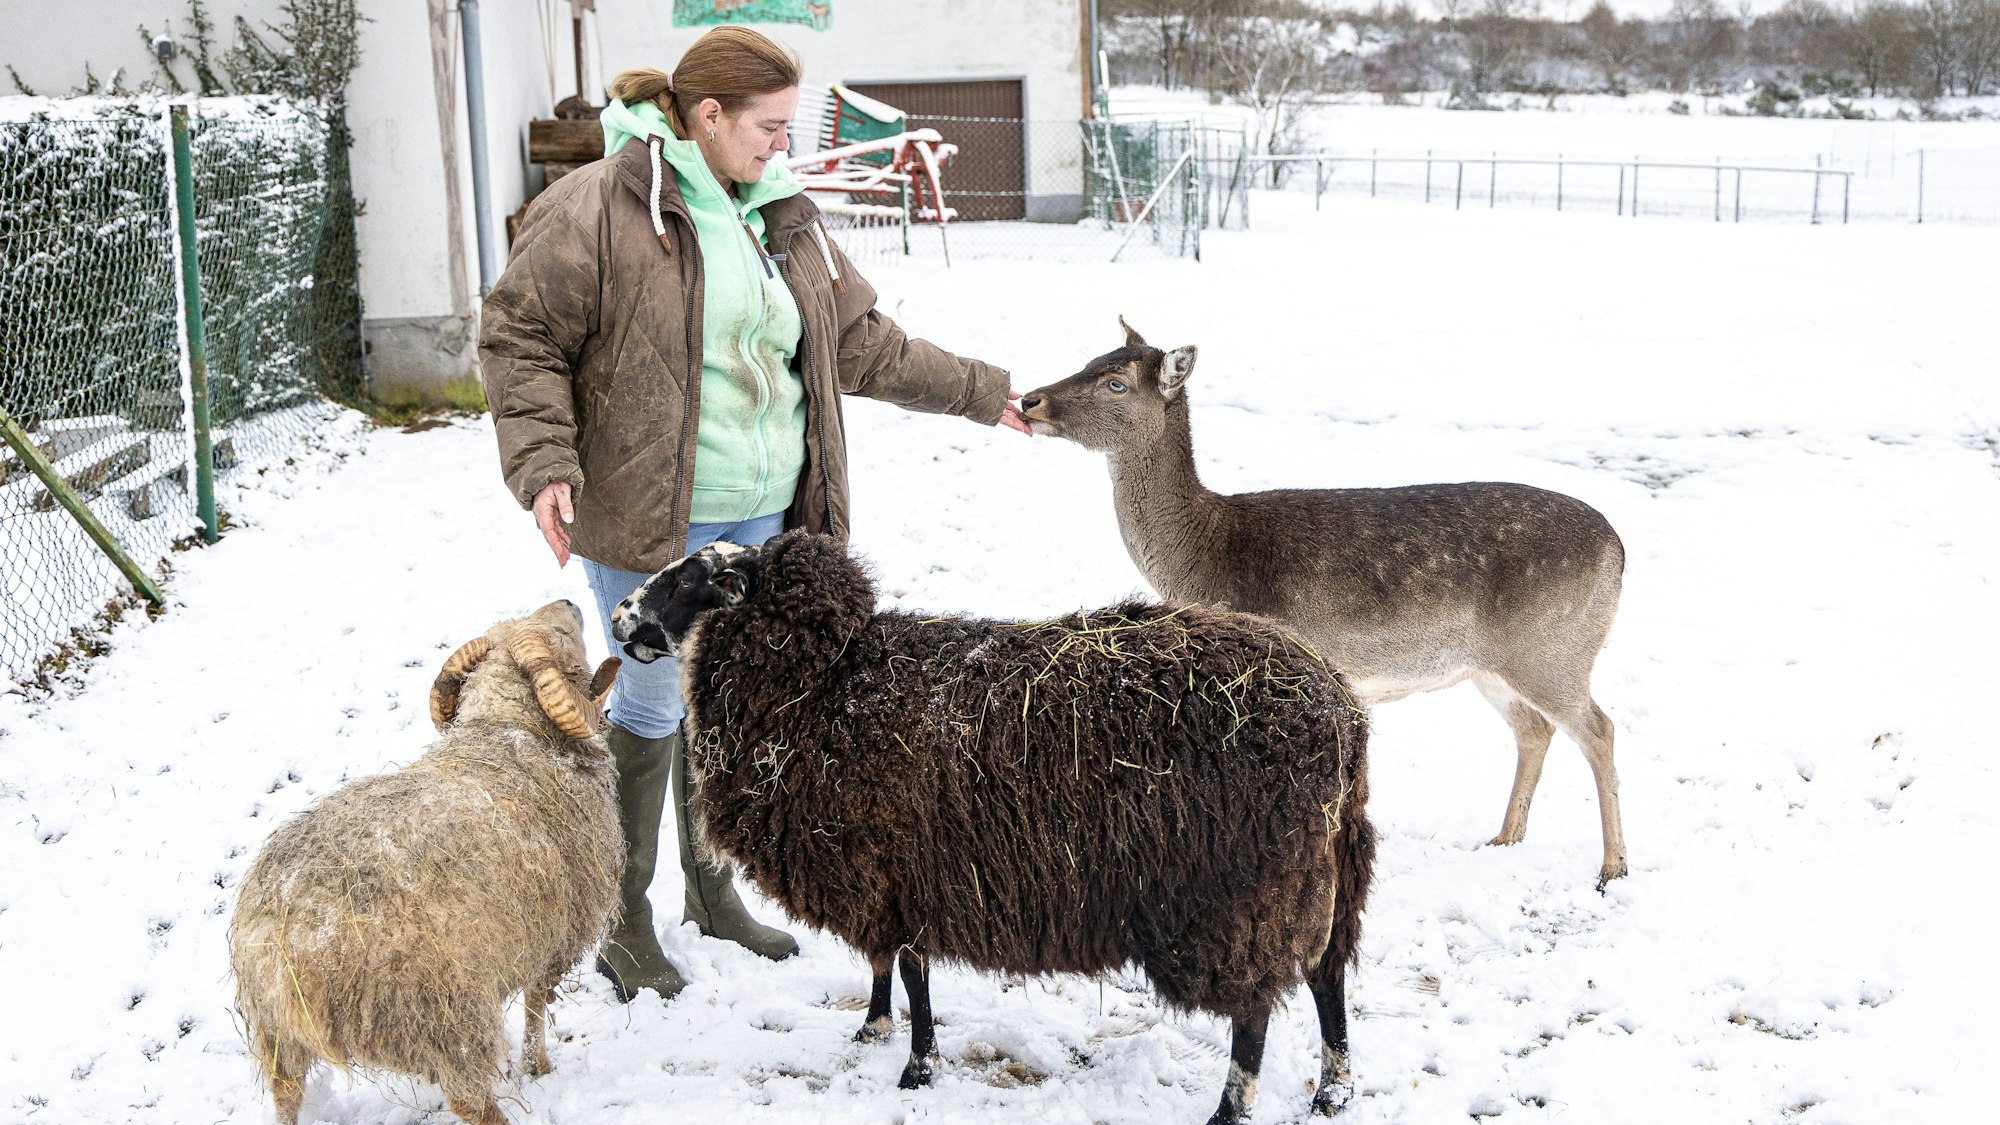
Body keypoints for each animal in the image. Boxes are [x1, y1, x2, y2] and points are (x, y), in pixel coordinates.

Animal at [228, 601, 623, 1125]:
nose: (570, 604)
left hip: (276, 1034)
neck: (507, 732)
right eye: (561, 634)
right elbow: (537, 1003)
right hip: (441, 1017)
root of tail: (285, 938)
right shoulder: (552, 934)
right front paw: (538, 1065)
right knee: (471, 1100)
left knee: (285, 1093)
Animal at [611, 531, 1377, 1125]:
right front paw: (874, 1028)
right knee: (1328, 978)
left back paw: (1230, 1107)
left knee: (1255, 1012)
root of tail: (1341, 714)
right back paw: (1334, 1090)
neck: (819, 686)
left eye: (691, 577)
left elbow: (911, 968)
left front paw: (917, 1066)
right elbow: (885, 960)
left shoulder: (899, 868)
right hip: (1335, 871)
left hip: (1241, 896)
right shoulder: (884, 875)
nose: (618, 614)